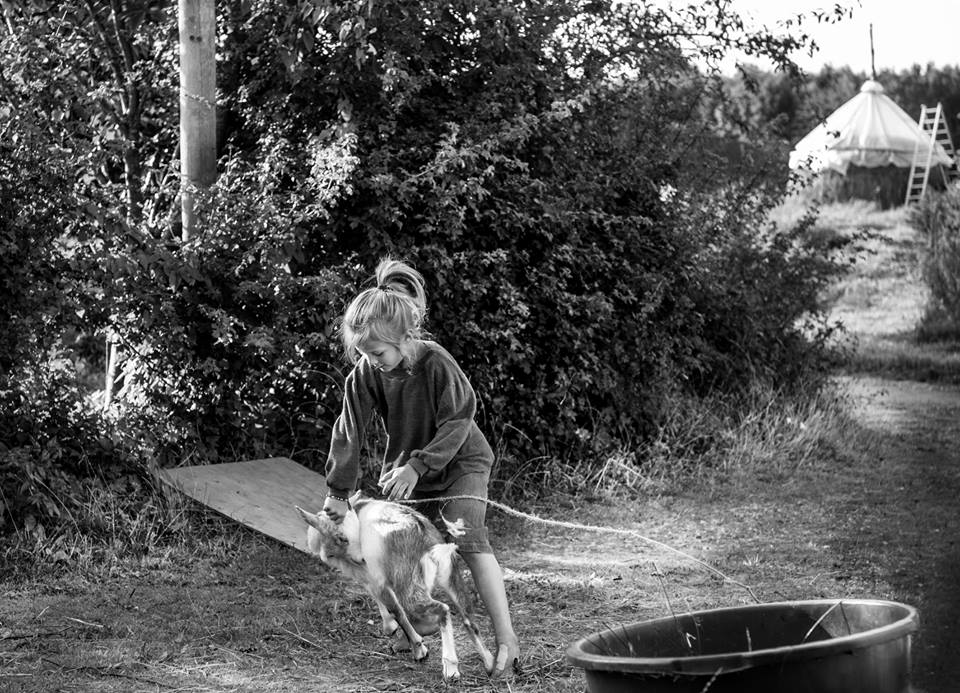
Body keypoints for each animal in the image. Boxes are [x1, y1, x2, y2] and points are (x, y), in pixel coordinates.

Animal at [296, 492, 496, 680]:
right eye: (341, 537)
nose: (362, 558)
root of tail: (427, 540)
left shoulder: (375, 577)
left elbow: (396, 610)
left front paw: (418, 649)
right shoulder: (371, 579)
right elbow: (381, 601)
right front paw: (393, 629)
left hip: (408, 584)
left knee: (442, 609)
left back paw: (451, 669)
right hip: (449, 573)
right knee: (468, 617)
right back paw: (490, 664)